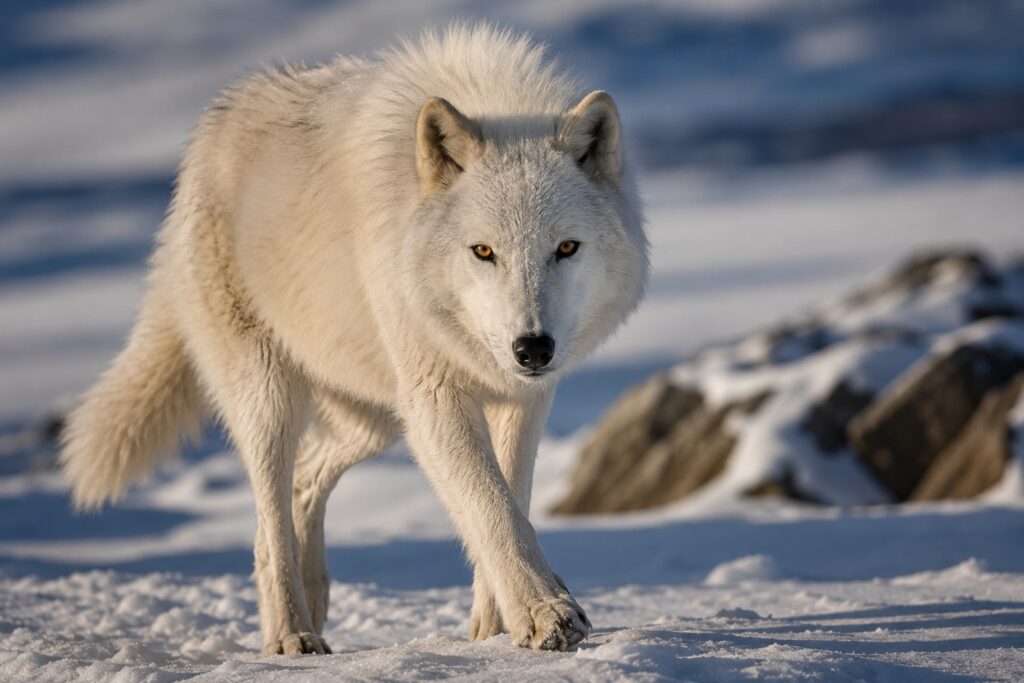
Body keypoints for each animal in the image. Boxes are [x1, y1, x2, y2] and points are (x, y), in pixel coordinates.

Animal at [60, 23, 647, 655]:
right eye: (484, 251)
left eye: (566, 248)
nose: (532, 348)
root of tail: (208, 132)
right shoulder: (436, 398)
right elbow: (491, 506)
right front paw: (545, 614)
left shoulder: (521, 398)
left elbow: (511, 502)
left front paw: (492, 628)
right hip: (274, 399)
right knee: (269, 524)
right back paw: (291, 635)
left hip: (377, 417)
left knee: (303, 484)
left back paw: (314, 607)